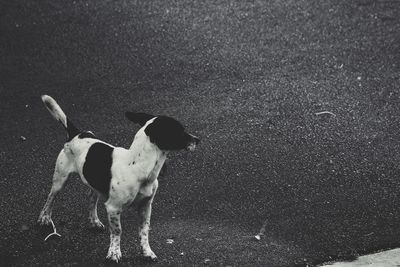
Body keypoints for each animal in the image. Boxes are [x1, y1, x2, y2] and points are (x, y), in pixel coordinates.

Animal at [37, 95, 200, 262]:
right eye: (179, 130)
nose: (198, 139)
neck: (138, 165)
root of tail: (77, 134)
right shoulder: (113, 208)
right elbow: (117, 231)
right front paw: (114, 252)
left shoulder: (146, 206)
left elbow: (144, 230)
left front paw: (147, 251)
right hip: (60, 180)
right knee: (51, 198)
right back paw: (44, 218)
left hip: (94, 184)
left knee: (91, 198)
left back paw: (94, 221)